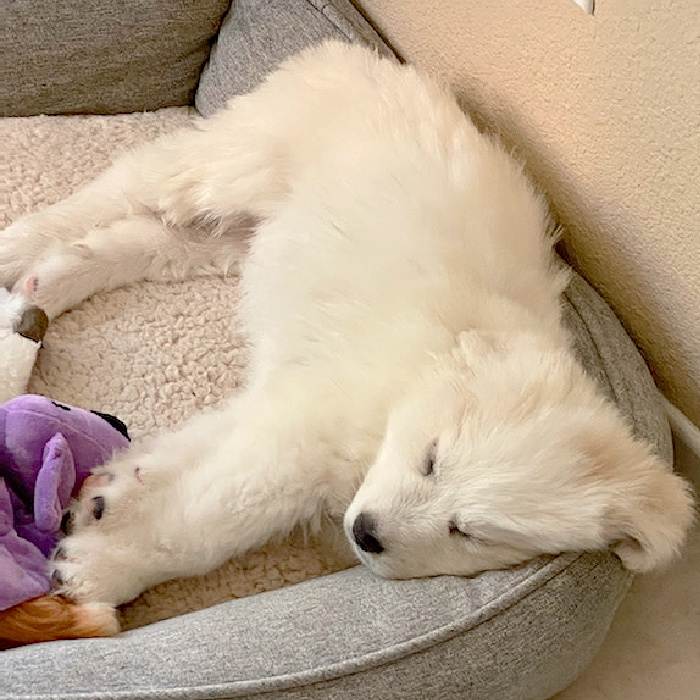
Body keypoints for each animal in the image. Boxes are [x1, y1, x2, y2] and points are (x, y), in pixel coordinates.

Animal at [0, 41, 688, 608]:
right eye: (431, 459)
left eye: (472, 532)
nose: (367, 533)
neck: (413, 386)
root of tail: (353, 54)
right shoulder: (299, 438)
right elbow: (209, 517)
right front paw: (105, 570)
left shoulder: (288, 400)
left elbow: (196, 449)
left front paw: (113, 494)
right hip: (224, 168)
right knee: (116, 191)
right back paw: (16, 247)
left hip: (232, 239)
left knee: (139, 242)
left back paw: (44, 284)